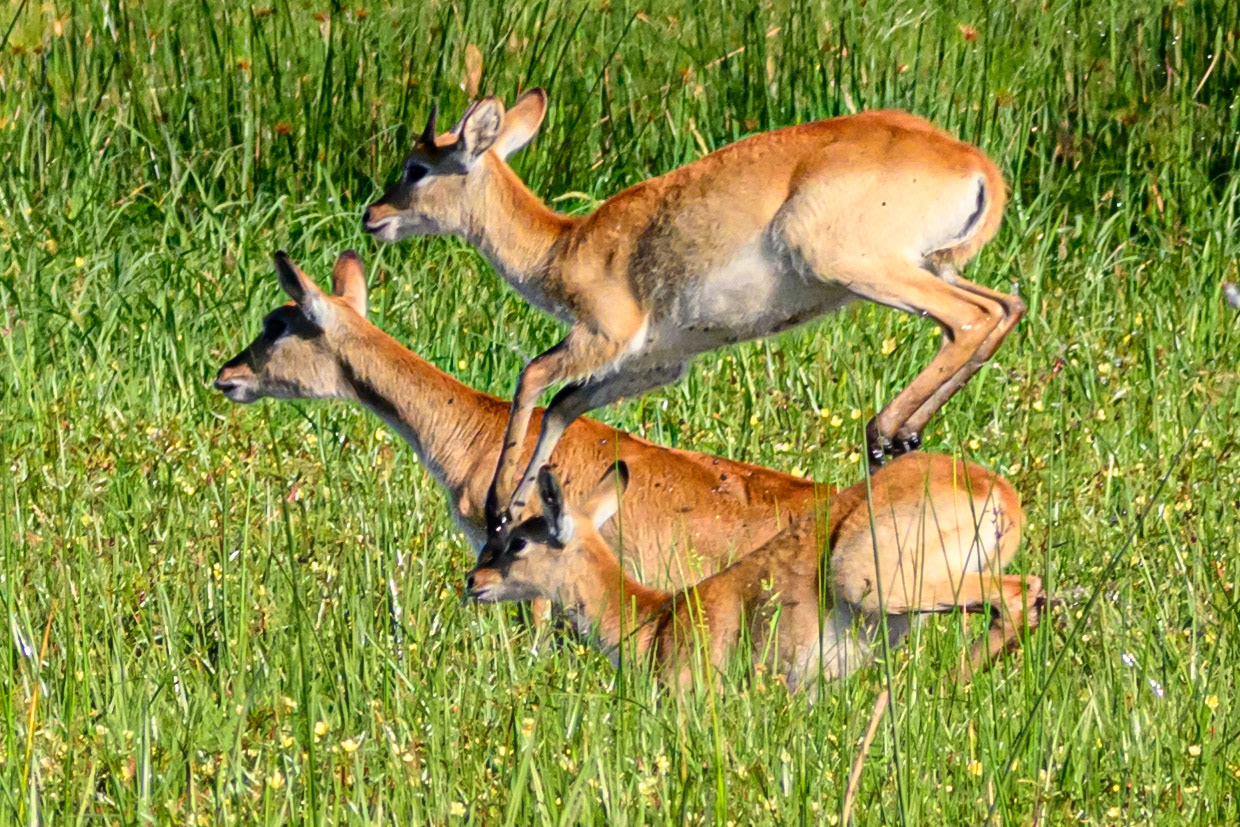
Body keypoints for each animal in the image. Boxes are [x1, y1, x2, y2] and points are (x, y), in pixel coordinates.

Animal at [363, 90, 1024, 561]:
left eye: (417, 167)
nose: (372, 216)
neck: (565, 247)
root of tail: (975, 163)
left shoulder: (603, 336)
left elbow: (532, 379)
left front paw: (499, 506)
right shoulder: (655, 364)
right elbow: (563, 405)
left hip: (862, 267)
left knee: (973, 318)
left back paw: (885, 429)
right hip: (932, 266)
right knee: (1003, 308)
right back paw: (902, 435)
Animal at [466, 454, 1043, 694]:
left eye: (518, 540)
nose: (474, 581)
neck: (659, 621)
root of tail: (994, 490)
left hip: (874, 583)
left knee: (1019, 593)